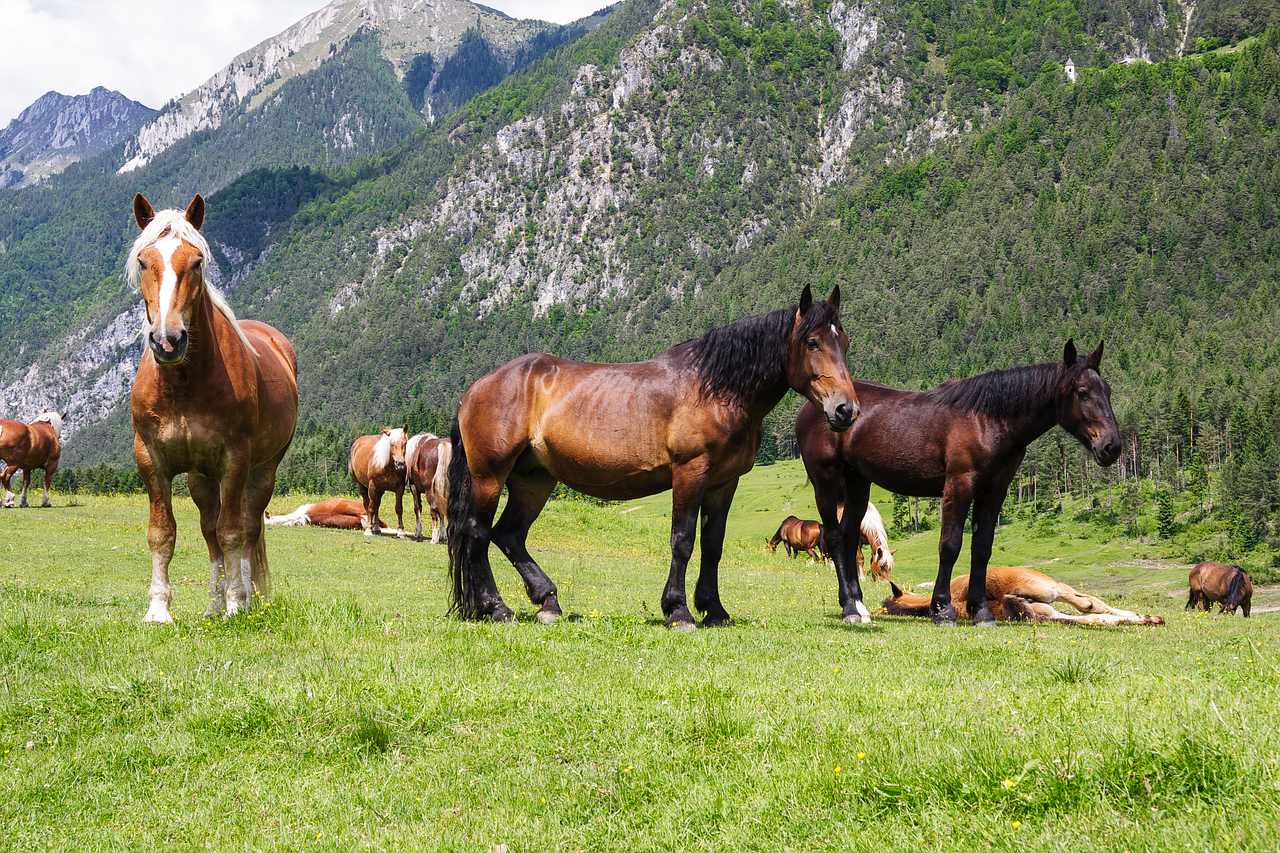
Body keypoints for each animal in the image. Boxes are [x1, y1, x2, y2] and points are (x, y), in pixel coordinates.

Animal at [129, 192, 299, 622]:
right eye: (143, 261)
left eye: (196, 262)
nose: (168, 340)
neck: (185, 385)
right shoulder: (150, 459)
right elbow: (163, 533)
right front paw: (158, 609)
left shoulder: (234, 459)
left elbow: (233, 532)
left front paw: (237, 603)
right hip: (200, 479)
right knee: (210, 532)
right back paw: (212, 602)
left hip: (261, 472)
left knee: (248, 526)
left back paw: (245, 598)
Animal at [450, 285, 860, 625]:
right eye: (812, 342)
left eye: (844, 342)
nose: (846, 410)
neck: (716, 389)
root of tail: (475, 389)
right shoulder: (690, 471)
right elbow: (683, 539)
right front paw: (678, 610)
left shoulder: (724, 482)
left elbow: (713, 545)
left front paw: (714, 610)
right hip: (490, 476)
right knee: (477, 533)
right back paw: (496, 608)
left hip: (533, 480)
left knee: (509, 534)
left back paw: (547, 602)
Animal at [798, 338, 1121, 625]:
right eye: (1083, 392)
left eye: (1106, 390)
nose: (1111, 447)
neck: (987, 421)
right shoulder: (959, 486)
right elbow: (950, 546)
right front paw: (942, 611)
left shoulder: (994, 491)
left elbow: (982, 548)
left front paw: (981, 613)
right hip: (826, 482)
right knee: (836, 537)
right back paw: (849, 609)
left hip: (857, 483)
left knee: (850, 537)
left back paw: (860, 606)